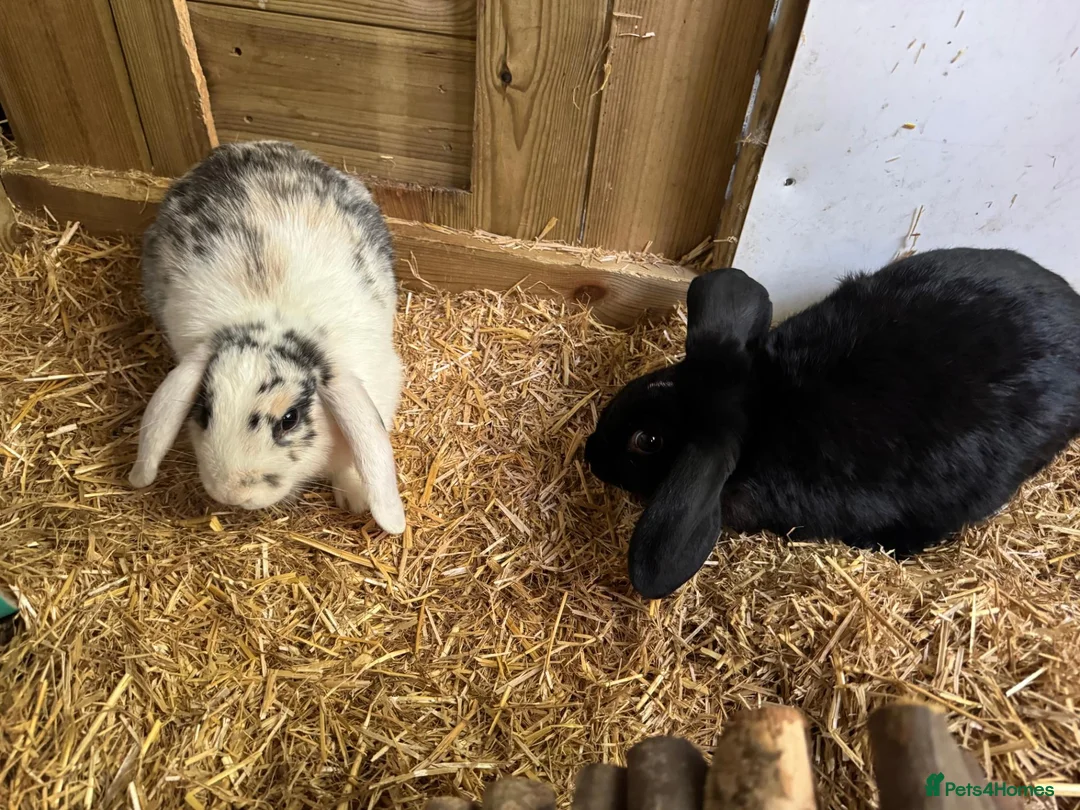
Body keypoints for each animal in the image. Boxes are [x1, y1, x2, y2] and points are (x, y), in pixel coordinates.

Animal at [129, 140, 406, 534]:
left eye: (289, 418)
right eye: (204, 410)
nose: (232, 491)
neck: (273, 320)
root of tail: (244, 146)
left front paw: (356, 499)